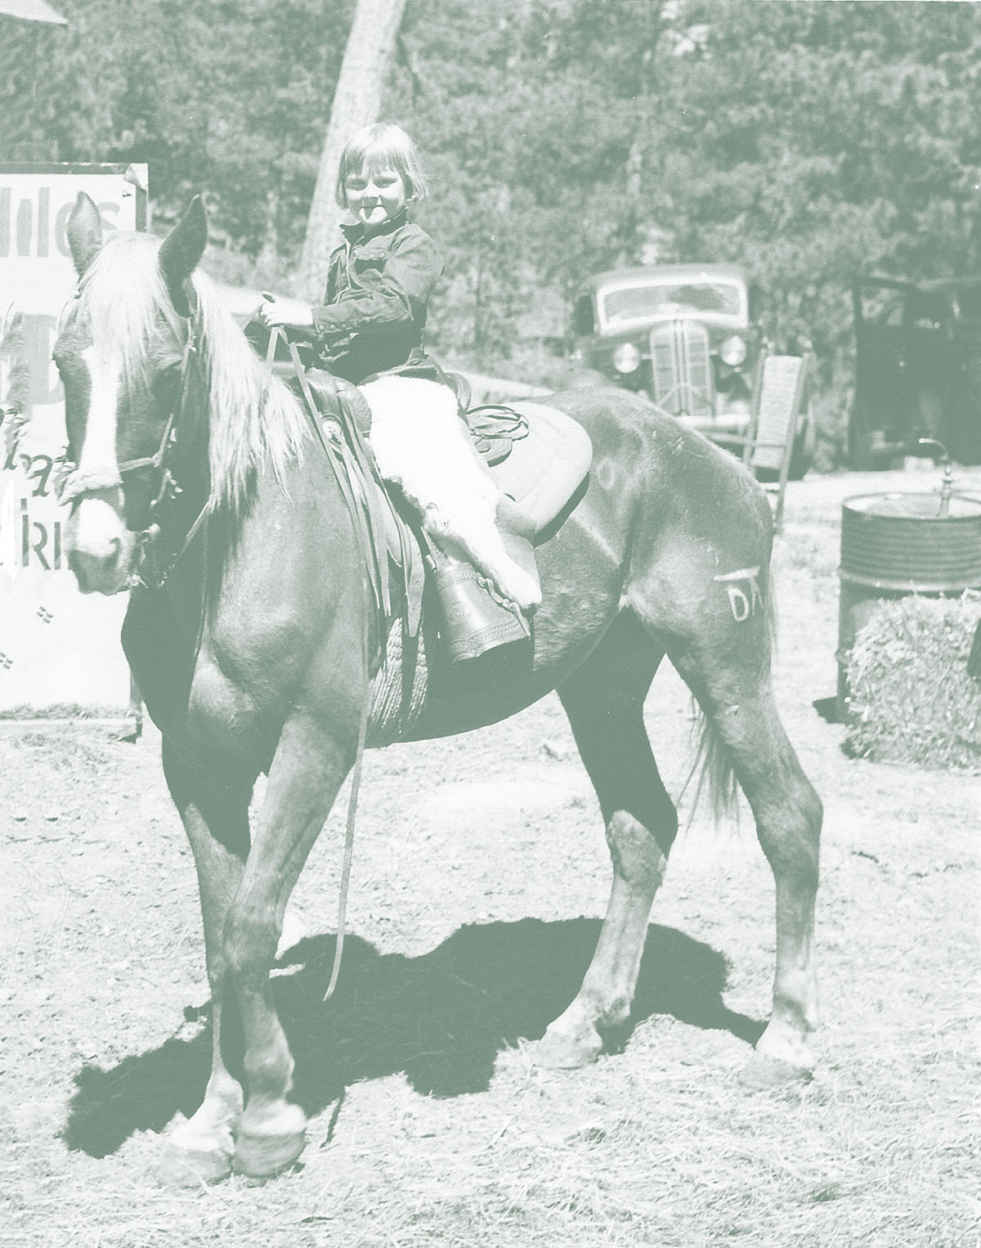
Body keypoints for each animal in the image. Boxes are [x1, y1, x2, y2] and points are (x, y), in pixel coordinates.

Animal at [55, 192, 818, 1178]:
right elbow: (221, 937)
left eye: (165, 367)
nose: (95, 547)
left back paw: (786, 1041)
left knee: (789, 817)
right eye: (64, 361)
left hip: (721, 660)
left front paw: (268, 1119)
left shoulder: (313, 749)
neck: (245, 541)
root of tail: (716, 458)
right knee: (640, 830)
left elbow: (252, 926)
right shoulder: (197, 765)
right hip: (603, 685)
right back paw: (584, 1023)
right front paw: (208, 1123)